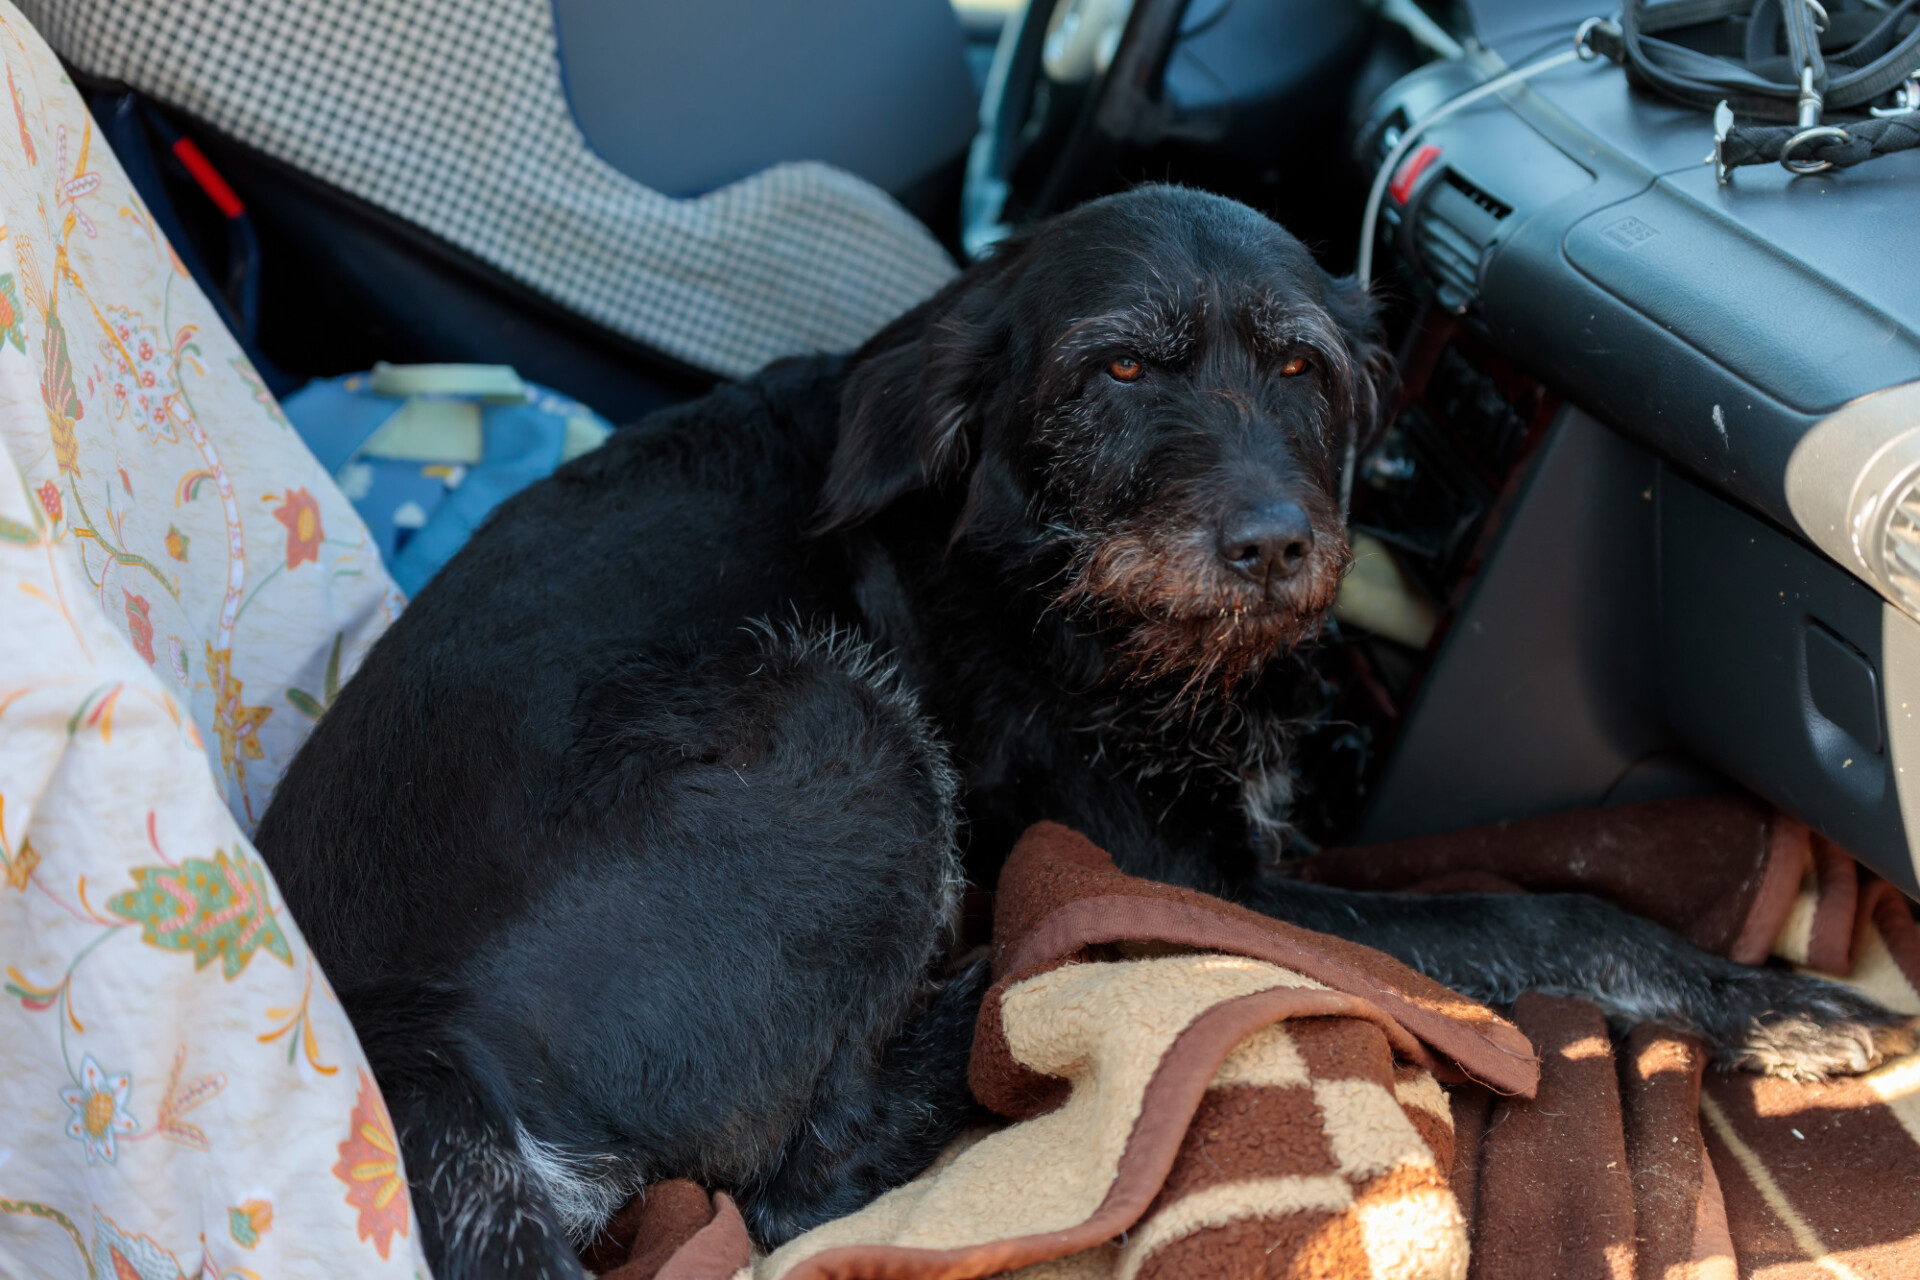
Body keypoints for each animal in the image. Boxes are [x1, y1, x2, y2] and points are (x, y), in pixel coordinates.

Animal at [251, 185, 1904, 1274]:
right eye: (1116, 368)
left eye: (1299, 367)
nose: (1277, 545)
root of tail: (413, 1048)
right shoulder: (1207, 870)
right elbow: (1533, 911)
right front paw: (1774, 1005)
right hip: (843, 726)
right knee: (796, 1175)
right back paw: (1028, 980)